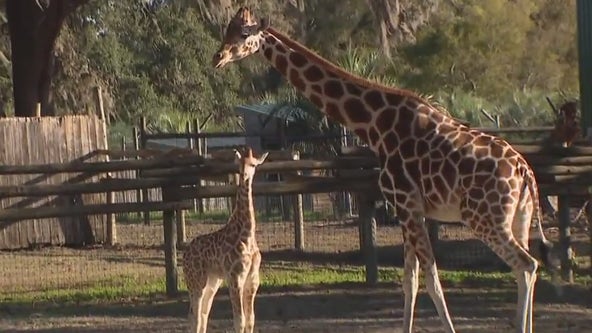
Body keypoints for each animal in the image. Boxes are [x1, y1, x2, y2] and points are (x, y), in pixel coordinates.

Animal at [182, 148, 270, 332]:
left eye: (253, 164)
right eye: (239, 164)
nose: (244, 174)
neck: (247, 234)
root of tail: (185, 254)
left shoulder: (252, 280)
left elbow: (250, 319)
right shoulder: (235, 278)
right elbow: (239, 320)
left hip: (212, 281)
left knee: (203, 313)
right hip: (196, 281)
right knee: (194, 315)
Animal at [212, 7, 556, 332]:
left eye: (244, 34)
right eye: (227, 30)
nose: (218, 57)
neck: (374, 125)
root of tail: (525, 171)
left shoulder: (405, 204)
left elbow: (431, 280)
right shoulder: (410, 210)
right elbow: (410, 281)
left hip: (484, 218)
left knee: (526, 265)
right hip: (519, 218)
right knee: (528, 267)